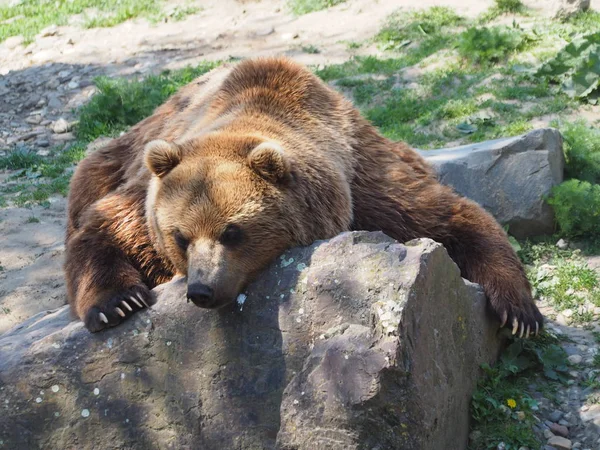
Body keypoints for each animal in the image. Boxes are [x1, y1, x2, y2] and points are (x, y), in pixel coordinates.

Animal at [65, 56, 544, 336]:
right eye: (180, 237)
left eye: (232, 232)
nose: (202, 289)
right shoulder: (146, 195)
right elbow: (107, 227)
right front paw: (116, 304)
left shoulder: (363, 181)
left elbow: (448, 216)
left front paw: (519, 312)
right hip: (120, 152)